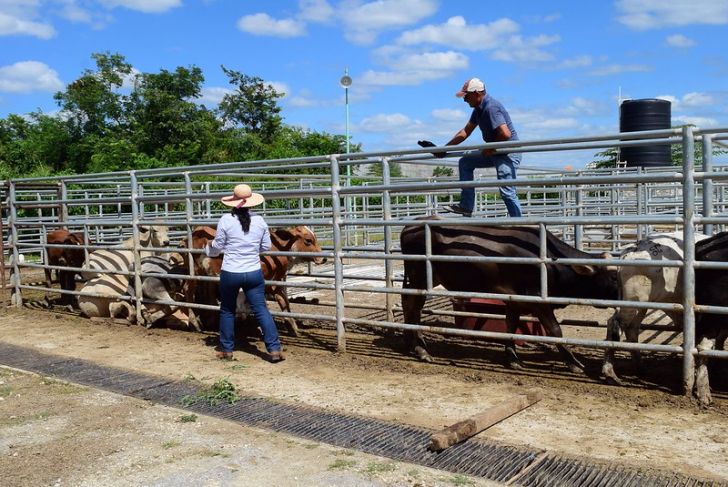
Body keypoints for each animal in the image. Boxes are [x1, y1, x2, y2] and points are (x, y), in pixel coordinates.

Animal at [398, 217, 620, 374]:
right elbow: (555, 330)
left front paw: (512, 357)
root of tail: (410, 226)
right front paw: (573, 363)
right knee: (413, 308)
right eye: (613, 276)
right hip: (419, 280)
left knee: (410, 307)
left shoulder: (515, 300)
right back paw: (420, 349)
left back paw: (412, 344)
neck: (549, 260)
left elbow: (511, 325)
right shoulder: (538, 300)